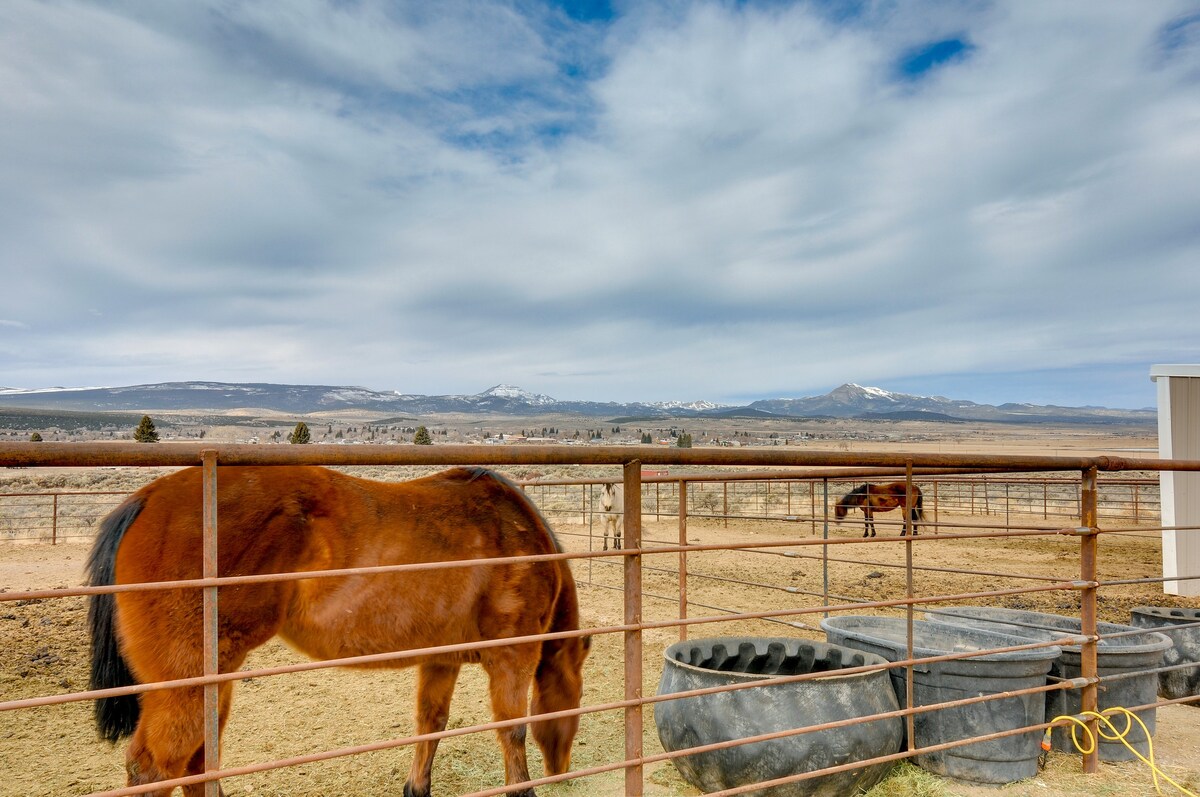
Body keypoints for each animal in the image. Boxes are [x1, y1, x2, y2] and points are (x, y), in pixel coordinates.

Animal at [85, 468, 590, 797]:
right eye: (578, 698)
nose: (563, 770)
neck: (518, 535)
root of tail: (148, 498)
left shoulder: (440, 659)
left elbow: (431, 723)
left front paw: (417, 787)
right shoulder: (512, 655)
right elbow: (512, 730)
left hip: (214, 680)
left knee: (198, 760)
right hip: (185, 685)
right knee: (156, 768)